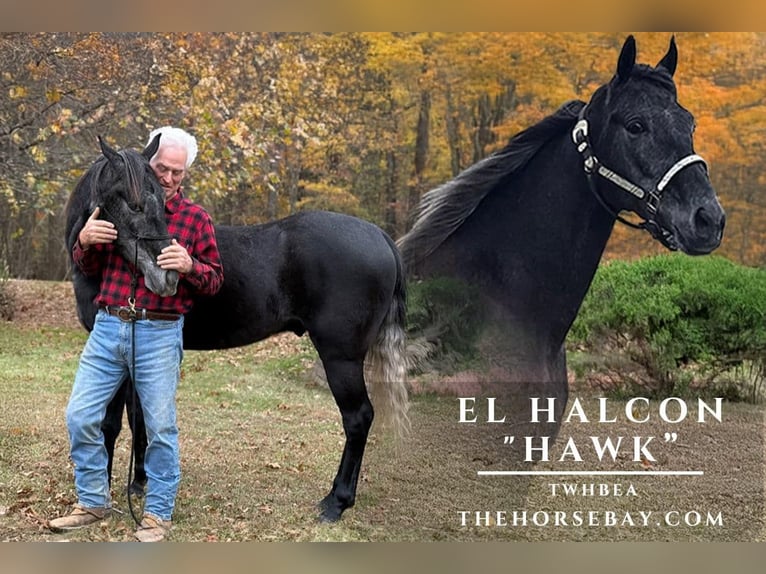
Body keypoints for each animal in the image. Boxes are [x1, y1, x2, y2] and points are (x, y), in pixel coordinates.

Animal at [64, 136, 409, 523]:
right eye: (134, 202)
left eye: (158, 200)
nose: (166, 277)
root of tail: (381, 236)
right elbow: (139, 417)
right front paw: (139, 482)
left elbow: (110, 423)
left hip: (341, 358)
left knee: (358, 418)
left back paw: (336, 501)